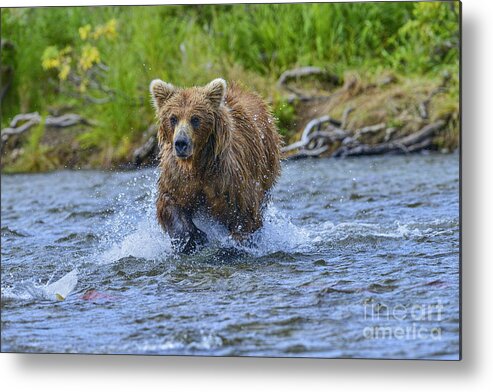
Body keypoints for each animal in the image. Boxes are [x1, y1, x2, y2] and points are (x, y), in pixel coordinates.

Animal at [150, 78, 280, 253]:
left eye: (195, 118)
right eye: (173, 118)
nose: (181, 143)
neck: (198, 164)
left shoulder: (228, 179)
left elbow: (244, 213)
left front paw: (235, 244)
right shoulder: (179, 178)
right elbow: (169, 202)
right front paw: (193, 239)